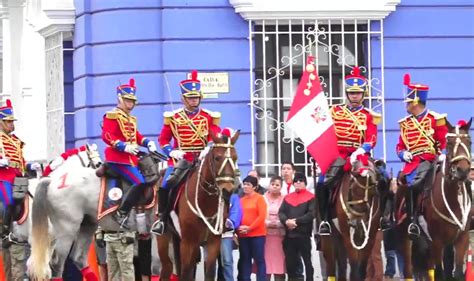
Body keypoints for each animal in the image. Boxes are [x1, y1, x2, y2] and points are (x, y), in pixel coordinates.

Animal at [156, 130, 241, 278]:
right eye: (217, 158)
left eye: (235, 158)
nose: (228, 190)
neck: (205, 201)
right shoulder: (188, 243)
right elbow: (185, 273)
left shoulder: (213, 243)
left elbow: (210, 272)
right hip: (165, 238)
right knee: (167, 267)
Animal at [394, 118, 472, 280]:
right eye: (449, 143)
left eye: (469, 142)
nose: (462, 171)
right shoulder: (437, 241)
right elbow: (440, 273)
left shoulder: (462, 238)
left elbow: (458, 273)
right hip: (407, 239)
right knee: (409, 270)